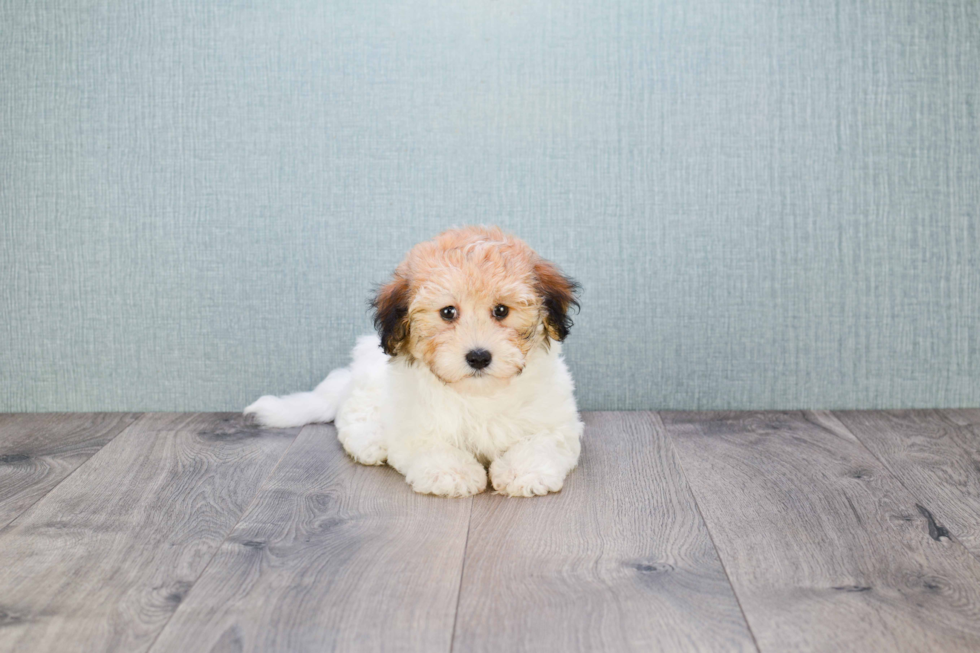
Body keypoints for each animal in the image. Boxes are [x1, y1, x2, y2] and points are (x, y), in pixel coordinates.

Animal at [244, 227, 580, 496]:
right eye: (448, 312)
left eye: (501, 311)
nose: (478, 357)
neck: (479, 395)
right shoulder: (415, 426)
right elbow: (433, 447)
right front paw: (453, 473)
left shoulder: (556, 421)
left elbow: (540, 443)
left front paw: (524, 471)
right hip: (369, 389)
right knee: (353, 415)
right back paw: (371, 442)